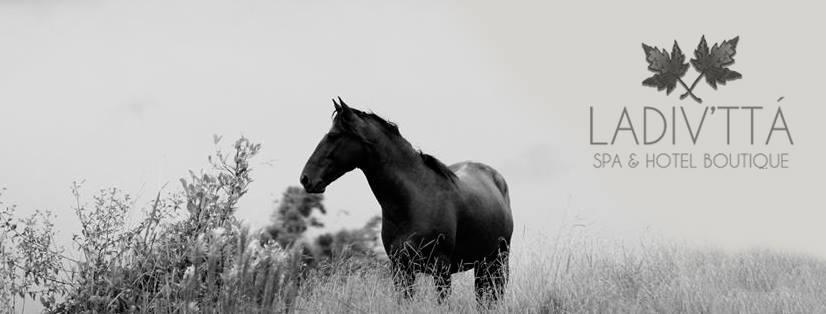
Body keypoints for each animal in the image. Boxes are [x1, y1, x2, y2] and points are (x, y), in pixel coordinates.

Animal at [300, 97, 512, 304]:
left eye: (333, 135)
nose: (306, 179)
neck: (415, 198)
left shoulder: (441, 268)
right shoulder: (401, 269)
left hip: (498, 260)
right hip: (482, 264)